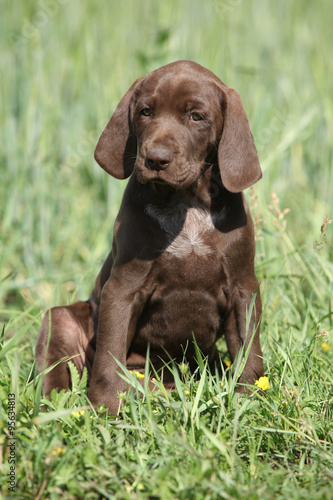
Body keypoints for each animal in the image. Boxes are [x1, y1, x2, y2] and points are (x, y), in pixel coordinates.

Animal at [35, 60, 262, 412]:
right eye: (145, 112)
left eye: (196, 117)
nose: (155, 158)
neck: (186, 202)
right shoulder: (123, 288)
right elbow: (110, 351)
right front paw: (106, 406)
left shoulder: (243, 288)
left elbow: (248, 348)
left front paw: (249, 400)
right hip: (61, 320)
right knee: (58, 367)